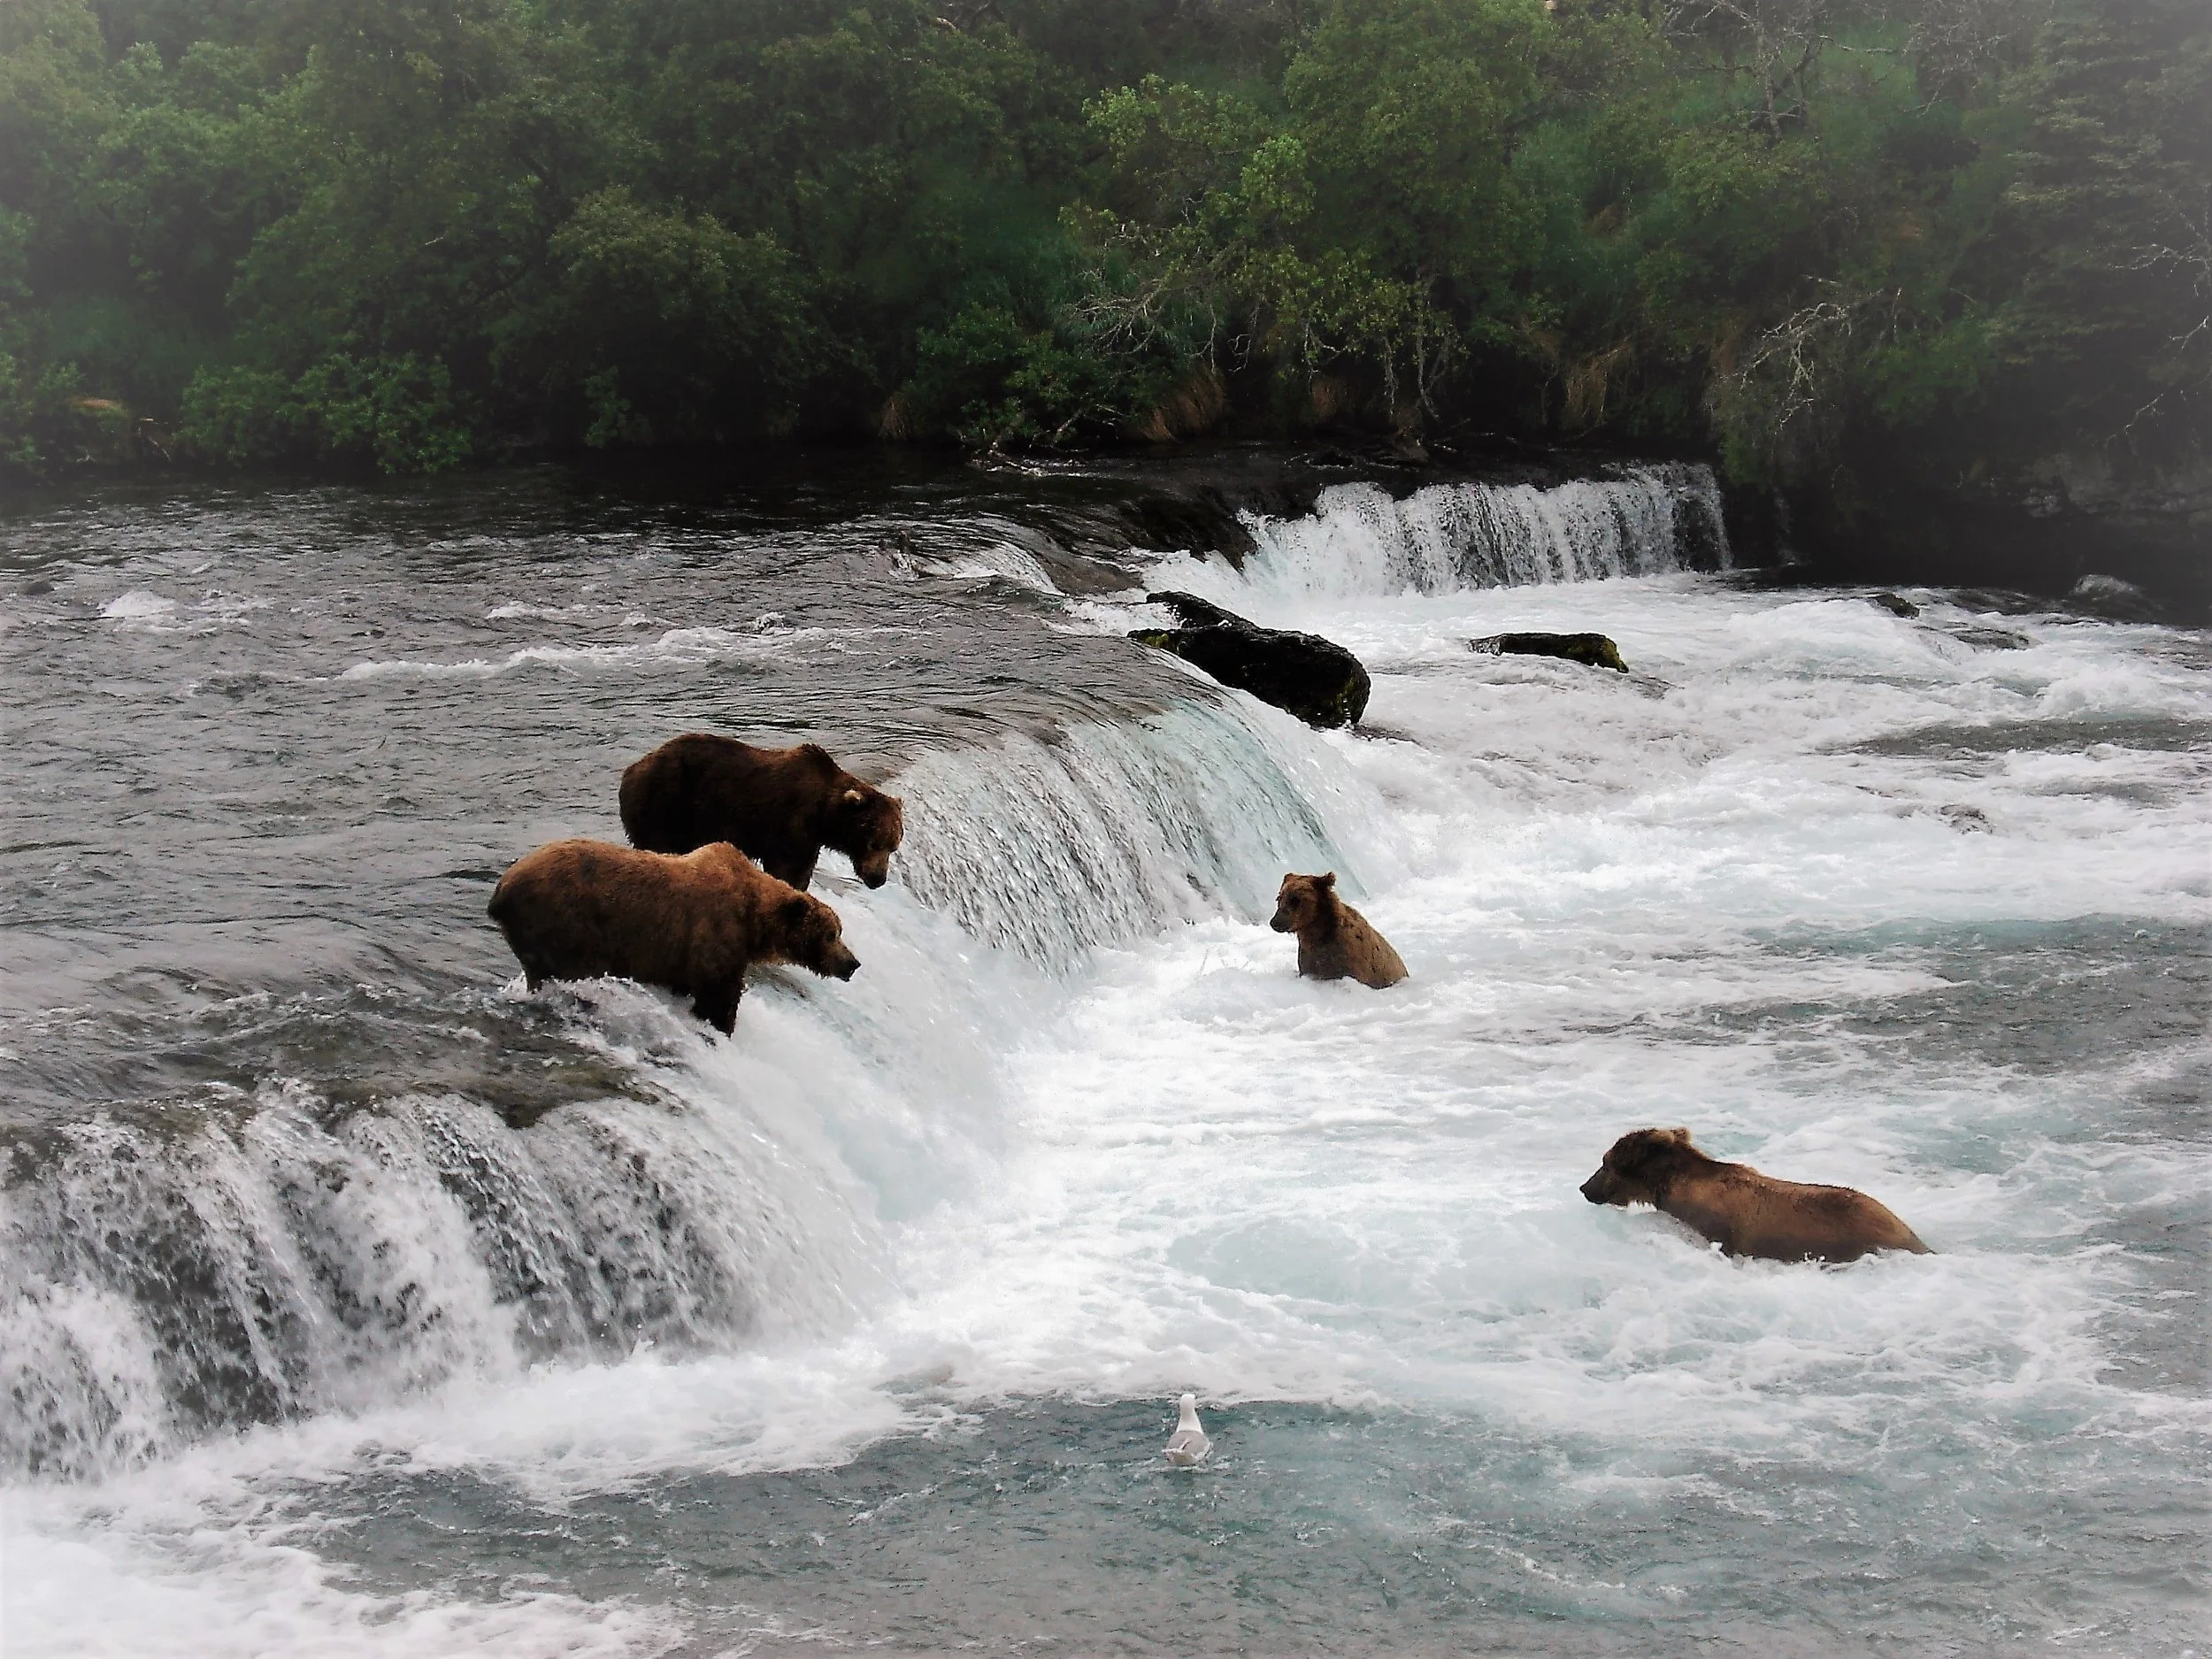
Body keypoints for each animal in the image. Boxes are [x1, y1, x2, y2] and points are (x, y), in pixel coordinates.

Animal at [487, 838, 859, 1035]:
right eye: (830, 934)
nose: (852, 962)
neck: (754, 919)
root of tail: (500, 891)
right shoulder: (714, 933)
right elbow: (718, 996)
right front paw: (720, 1026)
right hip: (563, 923)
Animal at [619, 734, 905, 891]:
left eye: (893, 846)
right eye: (874, 842)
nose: (878, 878)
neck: (823, 817)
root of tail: (631, 769)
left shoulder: (810, 839)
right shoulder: (790, 825)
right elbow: (787, 868)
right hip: (666, 804)